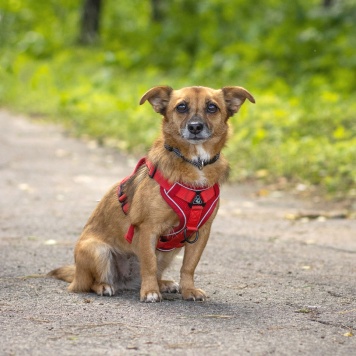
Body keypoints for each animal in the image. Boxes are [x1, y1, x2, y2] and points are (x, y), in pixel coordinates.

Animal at [48, 85, 254, 302]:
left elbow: (188, 267)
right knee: (89, 284)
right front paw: (150, 291)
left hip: (168, 252)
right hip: (97, 250)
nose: (195, 127)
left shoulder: (201, 233)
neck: (195, 162)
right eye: (181, 107)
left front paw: (188, 289)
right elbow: (148, 264)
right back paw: (105, 286)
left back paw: (164, 284)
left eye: (212, 107)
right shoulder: (148, 229)